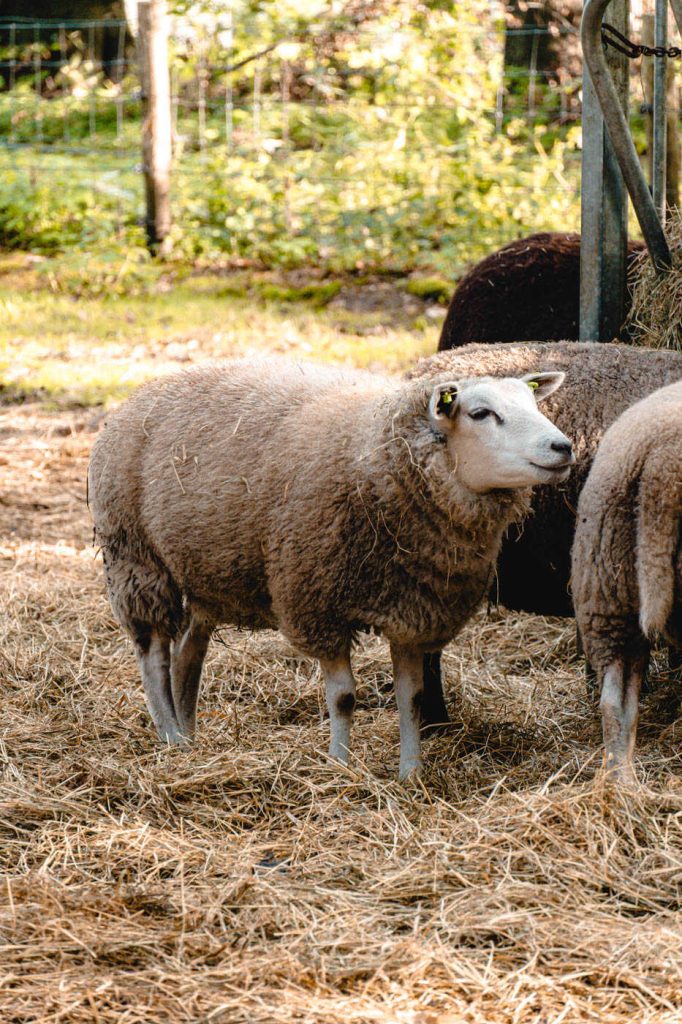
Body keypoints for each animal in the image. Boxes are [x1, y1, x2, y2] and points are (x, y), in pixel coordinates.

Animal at [88, 357, 573, 780]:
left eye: (534, 404)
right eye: (480, 413)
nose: (563, 447)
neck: (379, 453)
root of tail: (144, 391)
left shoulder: (412, 611)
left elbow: (412, 698)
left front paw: (411, 774)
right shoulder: (318, 604)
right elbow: (343, 698)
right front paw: (340, 765)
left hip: (205, 571)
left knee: (189, 650)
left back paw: (190, 739)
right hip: (137, 559)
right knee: (153, 656)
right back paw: (170, 736)